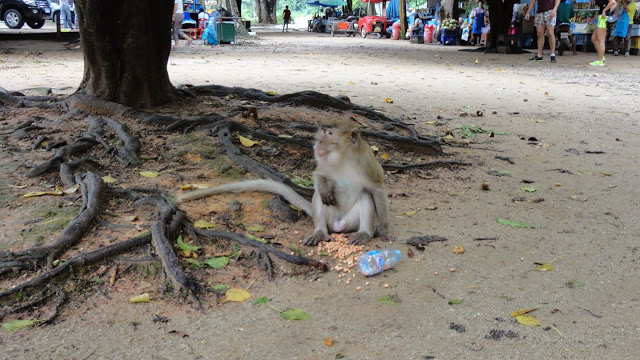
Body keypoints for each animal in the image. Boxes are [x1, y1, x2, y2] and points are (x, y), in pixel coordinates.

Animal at [178, 119, 392, 246]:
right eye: (323, 131)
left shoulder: (367, 164)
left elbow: (377, 188)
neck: (343, 159)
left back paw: (365, 233)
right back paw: (320, 232)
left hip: (351, 221)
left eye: (330, 134)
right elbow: (318, 176)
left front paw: (383, 228)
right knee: (320, 198)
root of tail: (339, 226)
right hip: (329, 219)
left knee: (365, 195)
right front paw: (323, 185)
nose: (319, 142)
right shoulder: (323, 161)